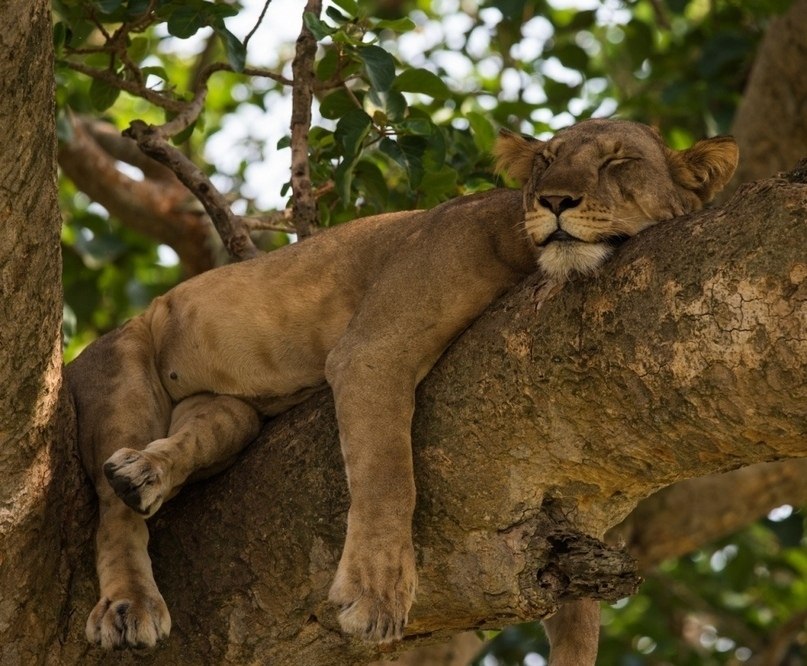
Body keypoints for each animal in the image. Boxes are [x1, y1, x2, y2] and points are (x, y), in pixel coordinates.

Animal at [68, 116, 740, 656]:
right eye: (546, 162)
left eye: (617, 162)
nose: (554, 200)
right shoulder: (373, 351)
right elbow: (390, 476)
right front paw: (376, 593)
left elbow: (580, 620)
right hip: (123, 365)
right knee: (113, 520)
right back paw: (130, 602)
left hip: (228, 413)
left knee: (195, 438)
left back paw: (143, 474)